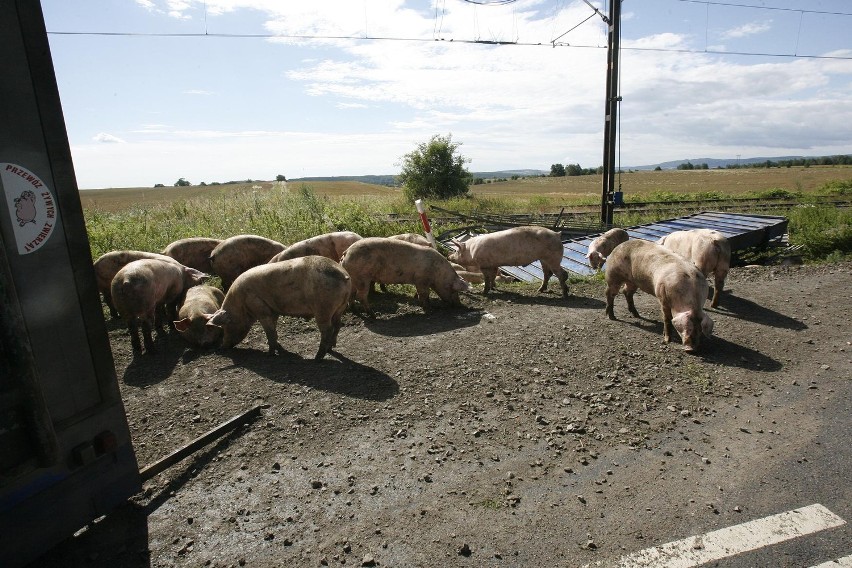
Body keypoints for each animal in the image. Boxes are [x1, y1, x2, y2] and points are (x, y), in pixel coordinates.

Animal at [206, 254, 350, 358]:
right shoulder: (272, 310)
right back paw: (330, 349)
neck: (241, 305)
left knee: (327, 330)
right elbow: (273, 329)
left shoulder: (260, 308)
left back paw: (317, 357)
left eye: (225, 326)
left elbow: (269, 331)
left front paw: (270, 354)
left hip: (323, 308)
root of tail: (343, 274)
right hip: (339, 308)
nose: (222, 347)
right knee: (337, 325)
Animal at [342, 237, 472, 318]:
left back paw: (356, 311)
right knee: (361, 296)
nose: (459, 305)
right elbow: (424, 294)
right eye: (453, 290)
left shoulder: (418, 281)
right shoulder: (422, 279)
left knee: (352, 295)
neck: (438, 273)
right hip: (362, 278)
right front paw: (429, 308)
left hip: (353, 278)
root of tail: (346, 252)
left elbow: (421, 293)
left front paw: (418, 300)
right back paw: (373, 316)